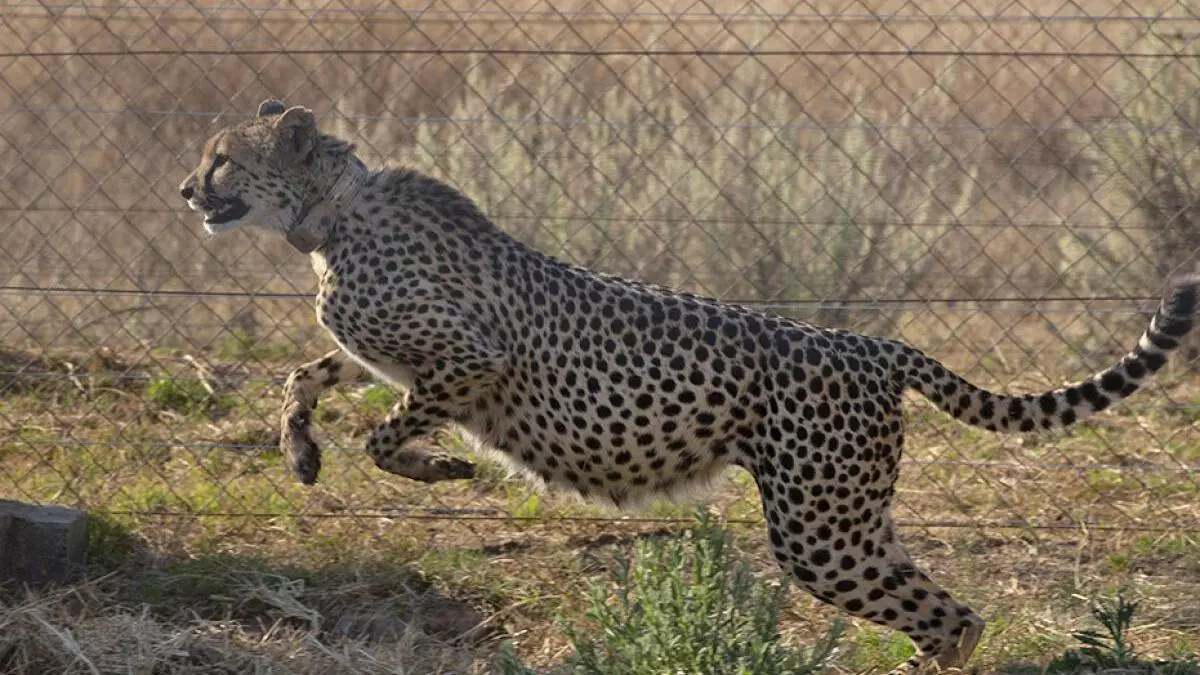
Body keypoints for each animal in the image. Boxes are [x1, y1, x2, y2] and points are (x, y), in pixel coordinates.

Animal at [180, 97, 1200, 667]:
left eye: (222, 157)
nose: (187, 192)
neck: (328, 213)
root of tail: (872, 343)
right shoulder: (387, 354)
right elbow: (306, 373)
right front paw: (300, 451)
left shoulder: (473, 362)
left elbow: (387, 431)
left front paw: (441, 471)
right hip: (852, 519)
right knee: (947, 611)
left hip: (821, 530)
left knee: (949, 616)